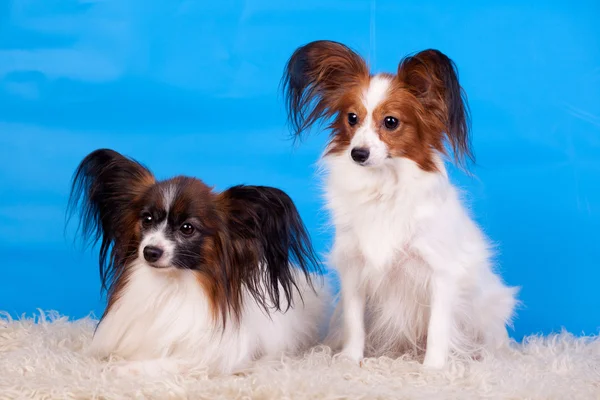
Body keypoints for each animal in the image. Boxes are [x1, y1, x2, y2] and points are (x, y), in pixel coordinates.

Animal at [68, 149, 330, 376]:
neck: (169, 286)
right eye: (147, 219)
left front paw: (122, 368)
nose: (150, 251)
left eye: (187, 228)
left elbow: (160, 363)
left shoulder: (205, 359)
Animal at [282, 40, 516, 368]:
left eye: (391, 122)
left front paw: (433, 368)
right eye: (352, 118)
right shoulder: (354, 267)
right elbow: (354, 321)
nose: (358, 153)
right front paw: (350, 359)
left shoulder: (440, 272)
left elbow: (438, 326)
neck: (383, 187)